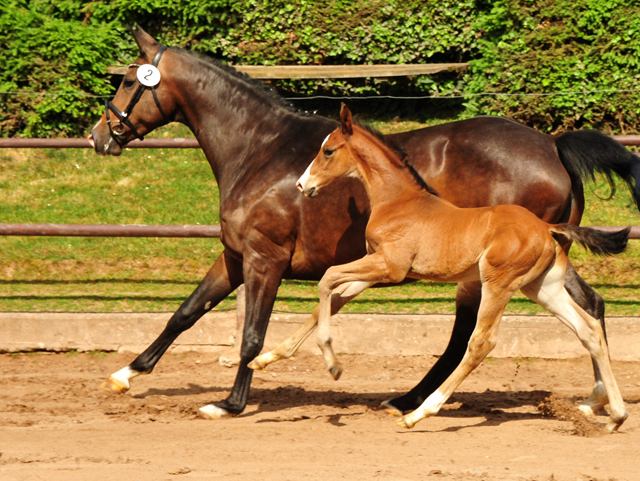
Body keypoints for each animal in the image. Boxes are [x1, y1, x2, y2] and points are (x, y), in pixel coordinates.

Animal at [262, 104, 632, 432]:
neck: (399, 201)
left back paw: (418, 413)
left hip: (497, 284)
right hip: (542, 287)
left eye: (327, 151)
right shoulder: (374, 268)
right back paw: (614, 415)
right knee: (588, 327)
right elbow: (331, 297)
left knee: (480, 342)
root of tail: (546, 228)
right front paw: (266, 357)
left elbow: (327, 279)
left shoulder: (389, 268)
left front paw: (333, 364)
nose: (302, 185)